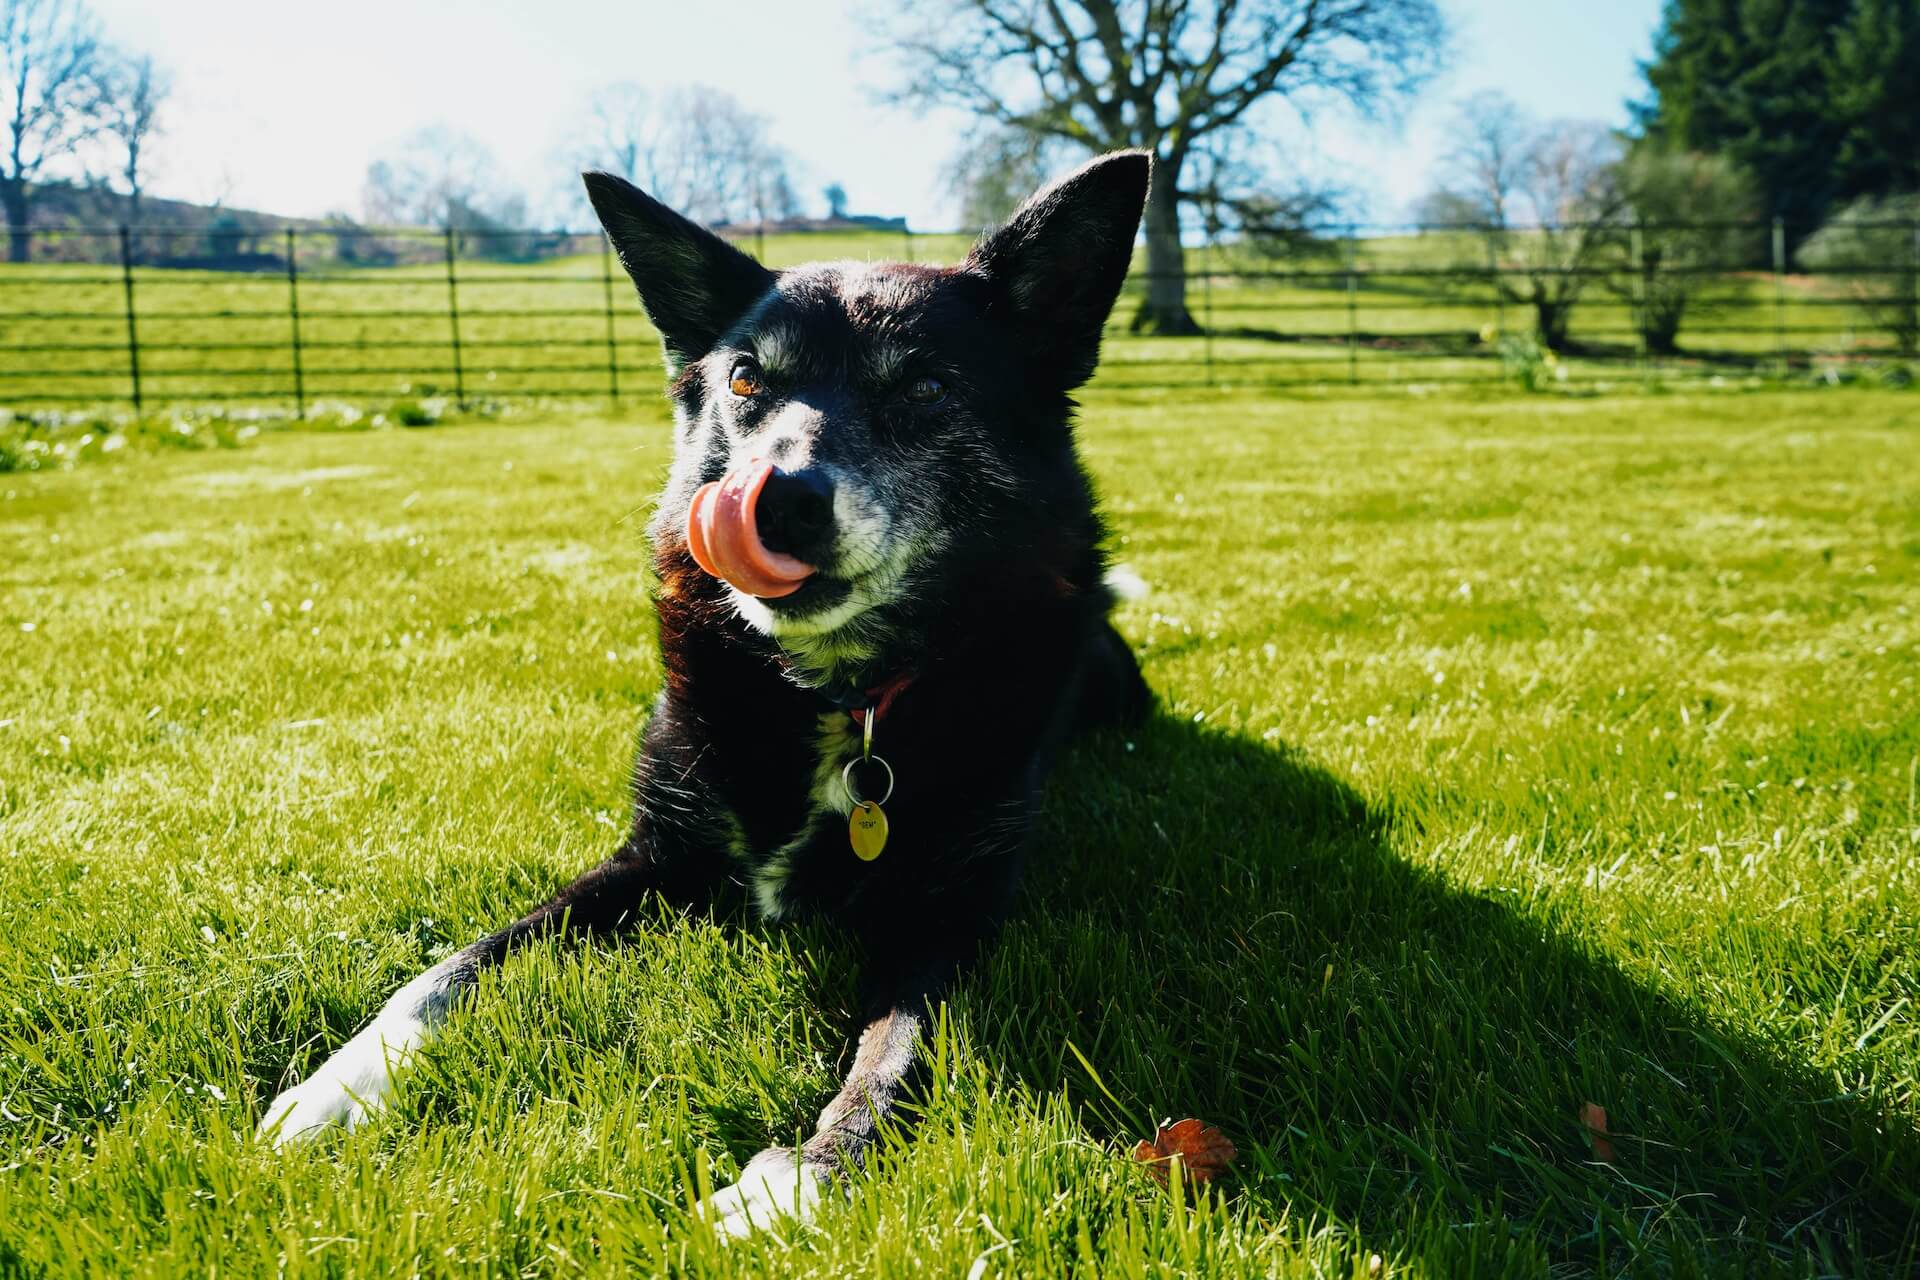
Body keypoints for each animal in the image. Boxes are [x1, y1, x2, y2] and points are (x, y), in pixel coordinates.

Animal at [257, 152, 1152, 1243]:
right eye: (744, 379)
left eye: (929, 385)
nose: (777, 500)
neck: (835, 696)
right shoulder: (654, 856)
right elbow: (451, 968)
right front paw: (342, 1081)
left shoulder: (952, 910)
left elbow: (894, 1054)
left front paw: (802, 1177)